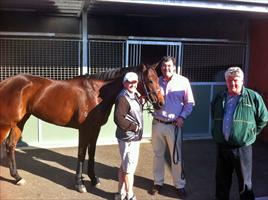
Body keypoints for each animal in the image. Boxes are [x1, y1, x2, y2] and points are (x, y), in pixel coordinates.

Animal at [0, 63, 164, 192]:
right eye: (150, 80)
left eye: (158, 79)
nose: (161, 103)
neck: (96, 92)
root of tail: (4, 83)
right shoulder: (84, 130)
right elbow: (81, 153)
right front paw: (79, 184)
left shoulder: (95, 128)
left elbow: (91, 153)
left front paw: (94, 179)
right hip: (5, 124)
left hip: (19, 122)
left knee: (10, 145)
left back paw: (17, 177)